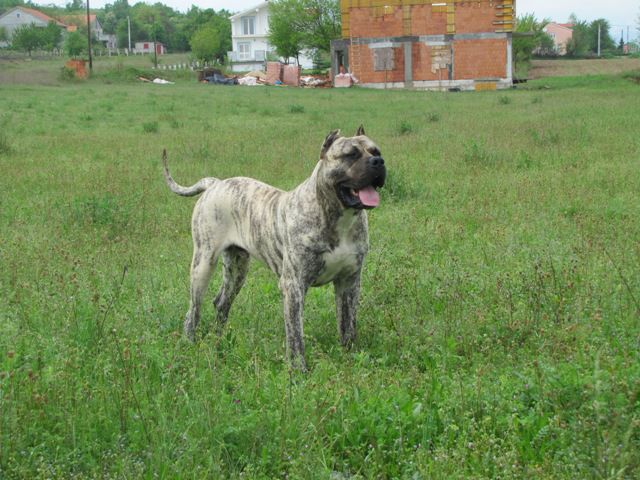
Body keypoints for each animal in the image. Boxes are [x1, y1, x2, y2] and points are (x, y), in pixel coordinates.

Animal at [164, 125, 384, 370]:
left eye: (376, 151)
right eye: (350, 155)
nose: (378, 162)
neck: (338, 216)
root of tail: (215, 183)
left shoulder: (349, 282)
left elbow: (348, 324)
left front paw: (349, 356)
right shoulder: (294, 285)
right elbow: (295, 335)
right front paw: (299, 370)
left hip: (237, 268)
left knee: (221, 302)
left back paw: (219, 340)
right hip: (203, 263)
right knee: (193, 310)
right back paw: (189, 343)